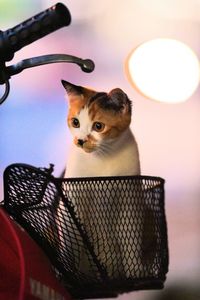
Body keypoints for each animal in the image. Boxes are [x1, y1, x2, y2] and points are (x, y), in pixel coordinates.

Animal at [57, 79, 142, 278]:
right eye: (75, 122)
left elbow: (131, 240)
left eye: (98, 126)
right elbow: (73, 238)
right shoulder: (71, 199)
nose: (80, 141)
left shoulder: (129, 197)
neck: (103, 159)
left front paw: (135, 272)